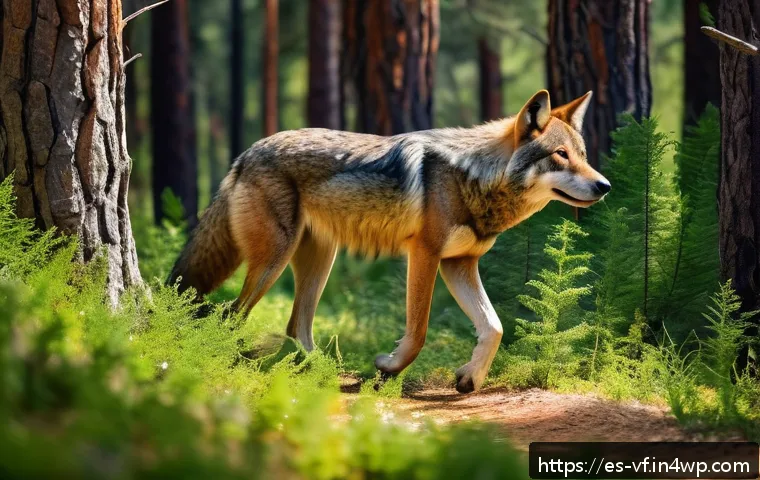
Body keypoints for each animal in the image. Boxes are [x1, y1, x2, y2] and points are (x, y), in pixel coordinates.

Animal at [168, 89, 610, 393]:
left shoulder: (460, 263)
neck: (475, 177)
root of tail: (246, 153)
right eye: (560, 155)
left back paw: (319, 373)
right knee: (232, 315)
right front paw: (389, 368)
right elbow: (419, 332)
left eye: (583, 155)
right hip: (273, 263)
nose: (604, 186)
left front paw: (469, 378)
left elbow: (494, 327)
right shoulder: (425, 255)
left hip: (318, 263)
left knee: (296, 326)